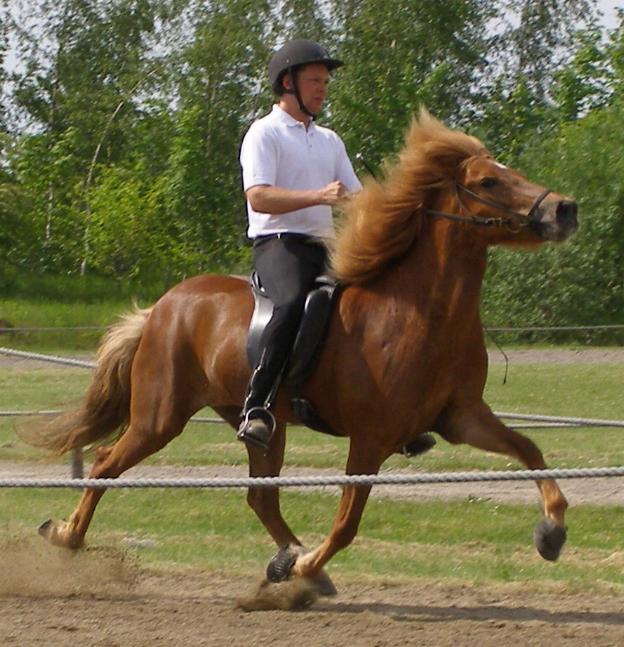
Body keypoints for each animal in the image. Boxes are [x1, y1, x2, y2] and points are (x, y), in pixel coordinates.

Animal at [26, 110, 576, 604]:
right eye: (488, 180)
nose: (565, 209)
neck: (421, 313)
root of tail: (163, 306)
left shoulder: (461, 418)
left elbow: (529, 451)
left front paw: (551, 532)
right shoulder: (371, 438)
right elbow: (348, 521)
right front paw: (307, 567)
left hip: (261, 424)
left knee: (261, 495)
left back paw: (291, 561)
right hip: (159, 417)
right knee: (104, 465)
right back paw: (67, 536)